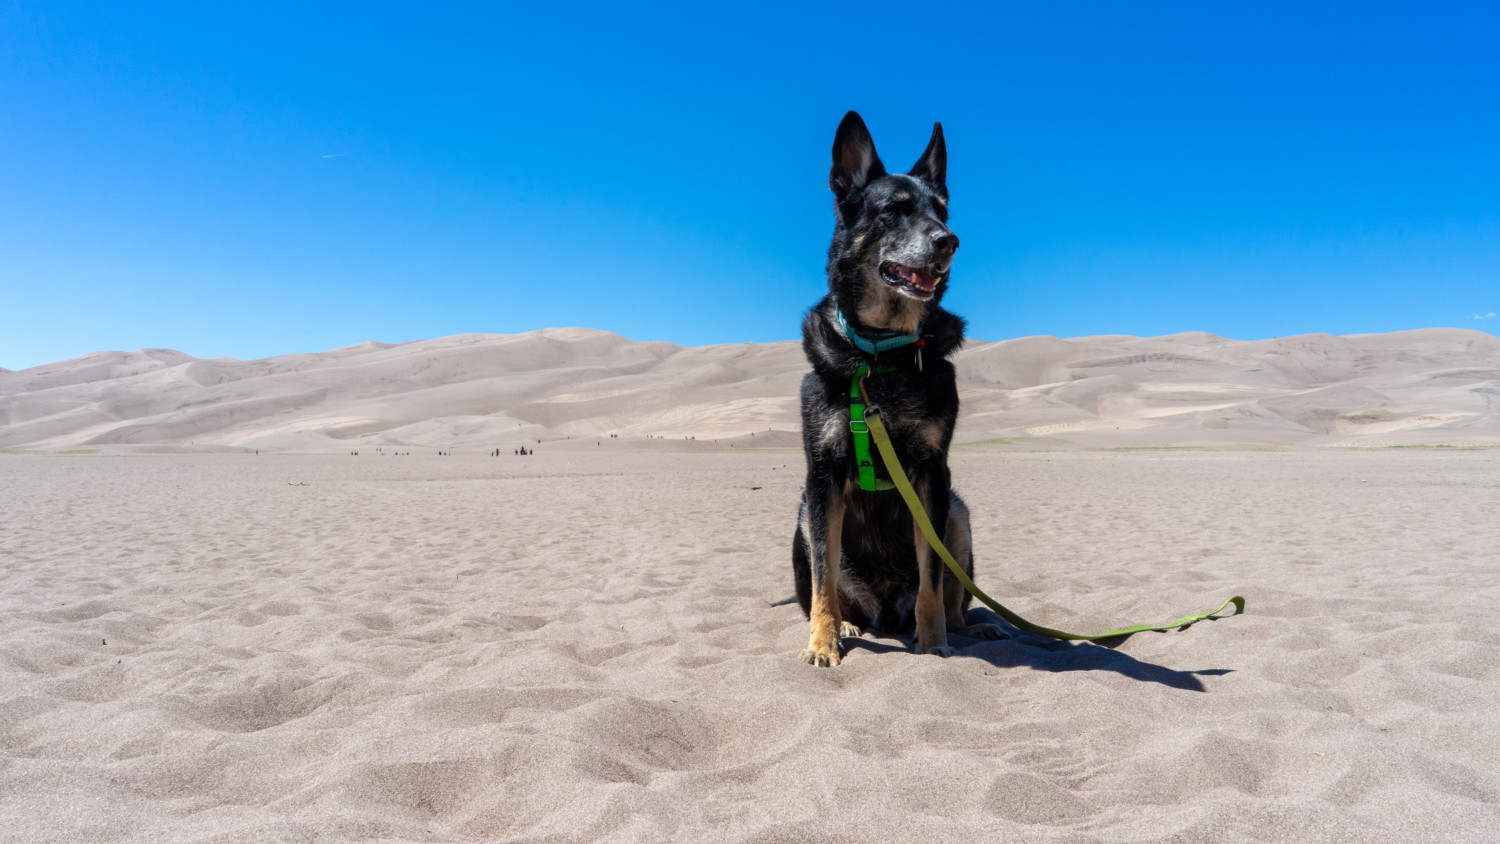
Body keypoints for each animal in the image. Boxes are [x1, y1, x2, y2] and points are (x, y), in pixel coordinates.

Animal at [792, 112, 1002, 668]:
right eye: (894, 211)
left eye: (942, 211)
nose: (949, 241)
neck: (879, 355)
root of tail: (886, 608)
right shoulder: (822, 477)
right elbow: (823, 579)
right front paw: (822, 643)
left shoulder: (931, 473)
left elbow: (933, 577)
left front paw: (933, 643)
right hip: (803, 513)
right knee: (833, 585)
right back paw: (846, 623)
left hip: (957, 512)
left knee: (953, 595)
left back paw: (970, 628)